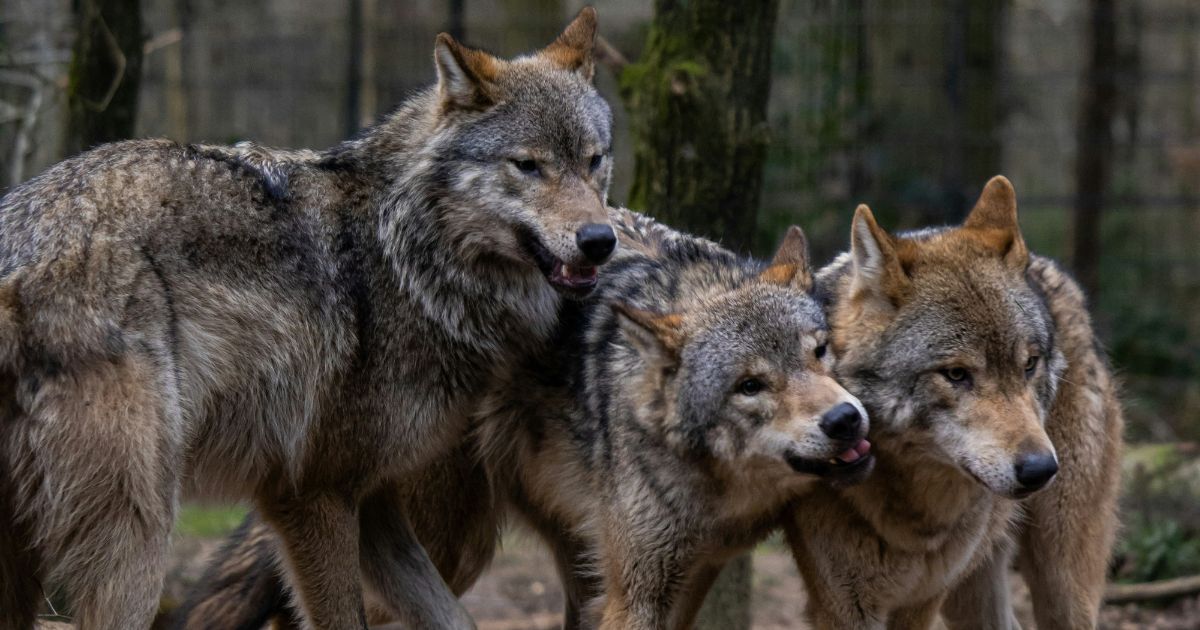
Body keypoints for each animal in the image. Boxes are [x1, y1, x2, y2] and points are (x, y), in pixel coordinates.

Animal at [0, 8, 617, 628]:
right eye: (528, 166)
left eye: (594, 161)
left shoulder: (376, 502)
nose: (600, 239)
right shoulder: (313, 495)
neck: (409, 255)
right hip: (143, 537)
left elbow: (451, 618)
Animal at [172, 208, 875, 630]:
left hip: (572, 562)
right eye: (750, 385)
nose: (845, 419)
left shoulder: (688, 576)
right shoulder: (637, 593)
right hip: (452, 543)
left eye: (819, 353)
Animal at [783, 176, 1123, 629]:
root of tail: (1047, 268)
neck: (917, 518)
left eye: (1029, 364)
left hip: (1060, 582)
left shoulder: (923, 600)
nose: (1040, 469)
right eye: (957, 374)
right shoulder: (843, 606)